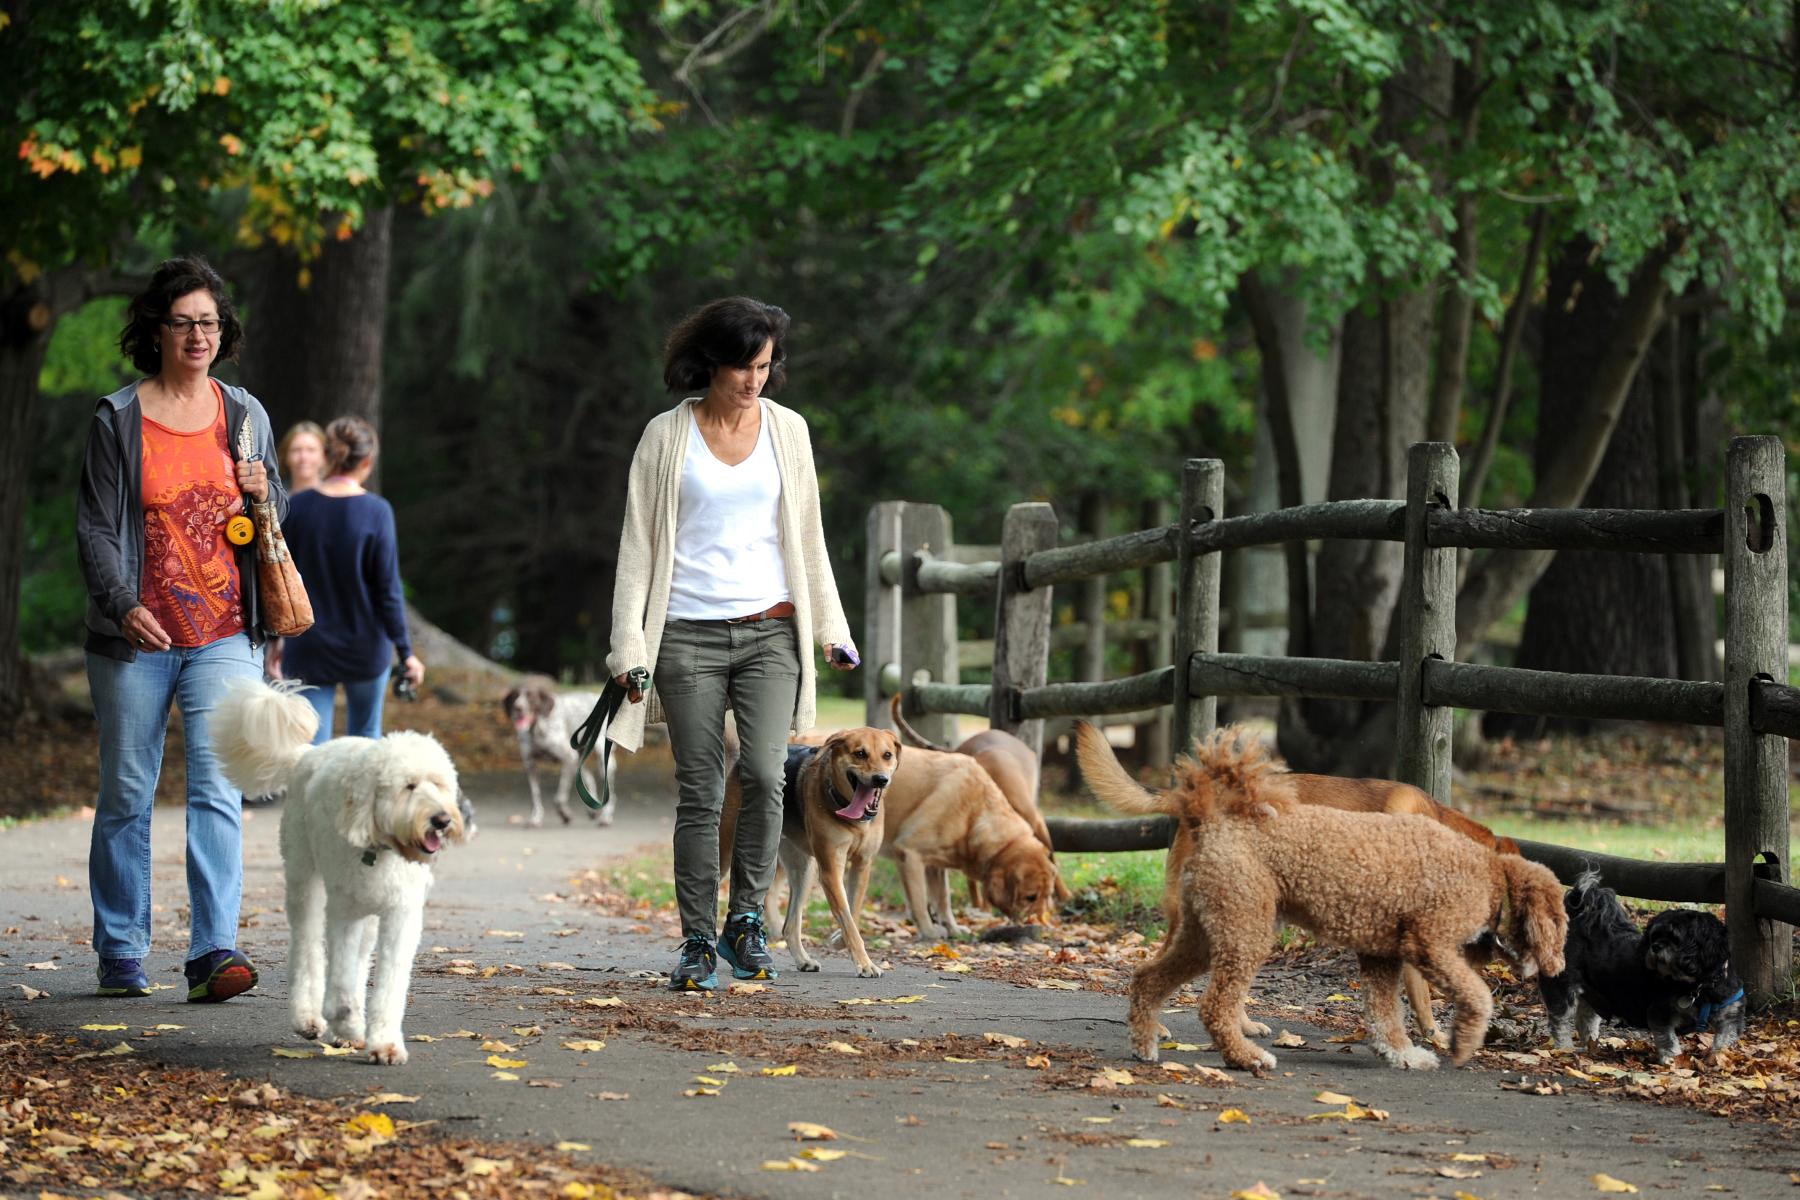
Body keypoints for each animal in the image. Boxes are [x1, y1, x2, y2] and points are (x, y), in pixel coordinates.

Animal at [212, 680, 471, 1065]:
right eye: (408, 786)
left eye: (438, 784)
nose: (442, 820)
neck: (380, 847)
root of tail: (306, 755)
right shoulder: (344, 912)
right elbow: (341, 979)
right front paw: (345, 1020)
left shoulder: (400, 916)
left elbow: (389, 984)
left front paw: (383, 1042)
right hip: (305, 883)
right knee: (307, 951)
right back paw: (309, 1017)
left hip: (367, 912)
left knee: (357, 960)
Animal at [723, 726, 900, 978]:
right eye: (860, 754)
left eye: (887, 755)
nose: (880, 779)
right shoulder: (831, 871)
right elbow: (846, 918)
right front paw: (865, 963)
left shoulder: (862, 865)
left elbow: (853, 912)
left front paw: (840, 941)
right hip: (728, 847)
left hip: (804, 869)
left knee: (790, 925)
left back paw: (803, 959)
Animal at [1065, 723, 1562, 1072]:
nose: (1554, 967)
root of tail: (1201, 804)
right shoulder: (1420, 942)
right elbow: (1431, 997)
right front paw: (1444, 1036)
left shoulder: (1385, 947)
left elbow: (1390, 1008)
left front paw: (1408, 1046)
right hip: (1235, 921)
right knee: (1203, 993)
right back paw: (1219, 1046)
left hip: (1224, 926)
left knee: (1170, 979)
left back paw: (1183, 1034)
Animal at [1533, 874, 1742, 1057]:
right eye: (1654, 936)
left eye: (1676, 938)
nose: (1656, 947)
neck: (1698, 987)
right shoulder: (1661, 1013)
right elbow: (1668, 1041)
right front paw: (1672, 1061)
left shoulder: (1731, 1015)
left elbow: (1725, 1040)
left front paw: (1719, 1057)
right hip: (1561, 988)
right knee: (1559, 1021)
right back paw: (1565, 1048)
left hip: (1592, 993)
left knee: (1586, 1018)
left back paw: (1591, 1044)